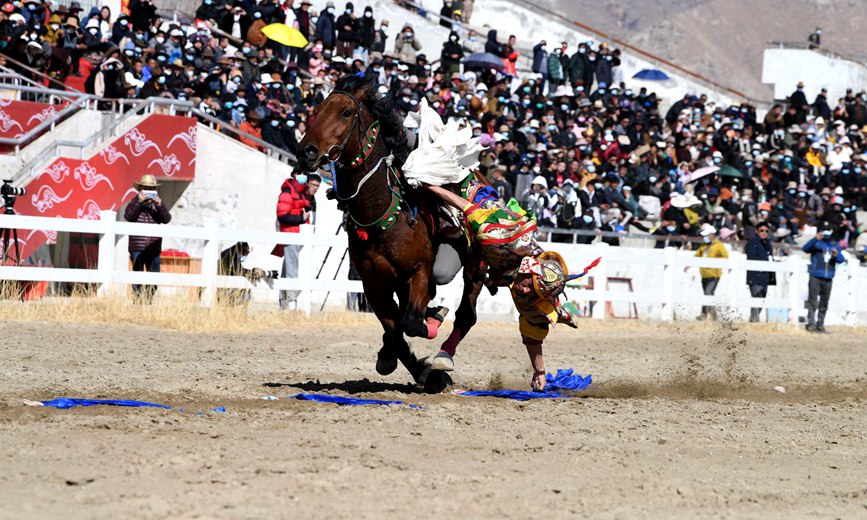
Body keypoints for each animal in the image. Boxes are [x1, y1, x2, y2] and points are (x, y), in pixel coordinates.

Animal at [296, 73, 484, 390]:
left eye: (345, 112)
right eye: (317, 109)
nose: (306, 151)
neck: (384, 217)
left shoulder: (419, 272)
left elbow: (410, 323)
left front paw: (431, 358)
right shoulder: (373, 284)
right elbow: (394, 328)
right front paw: (409, 365)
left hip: (474, 269)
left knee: (465, 315)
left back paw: (443, 353)